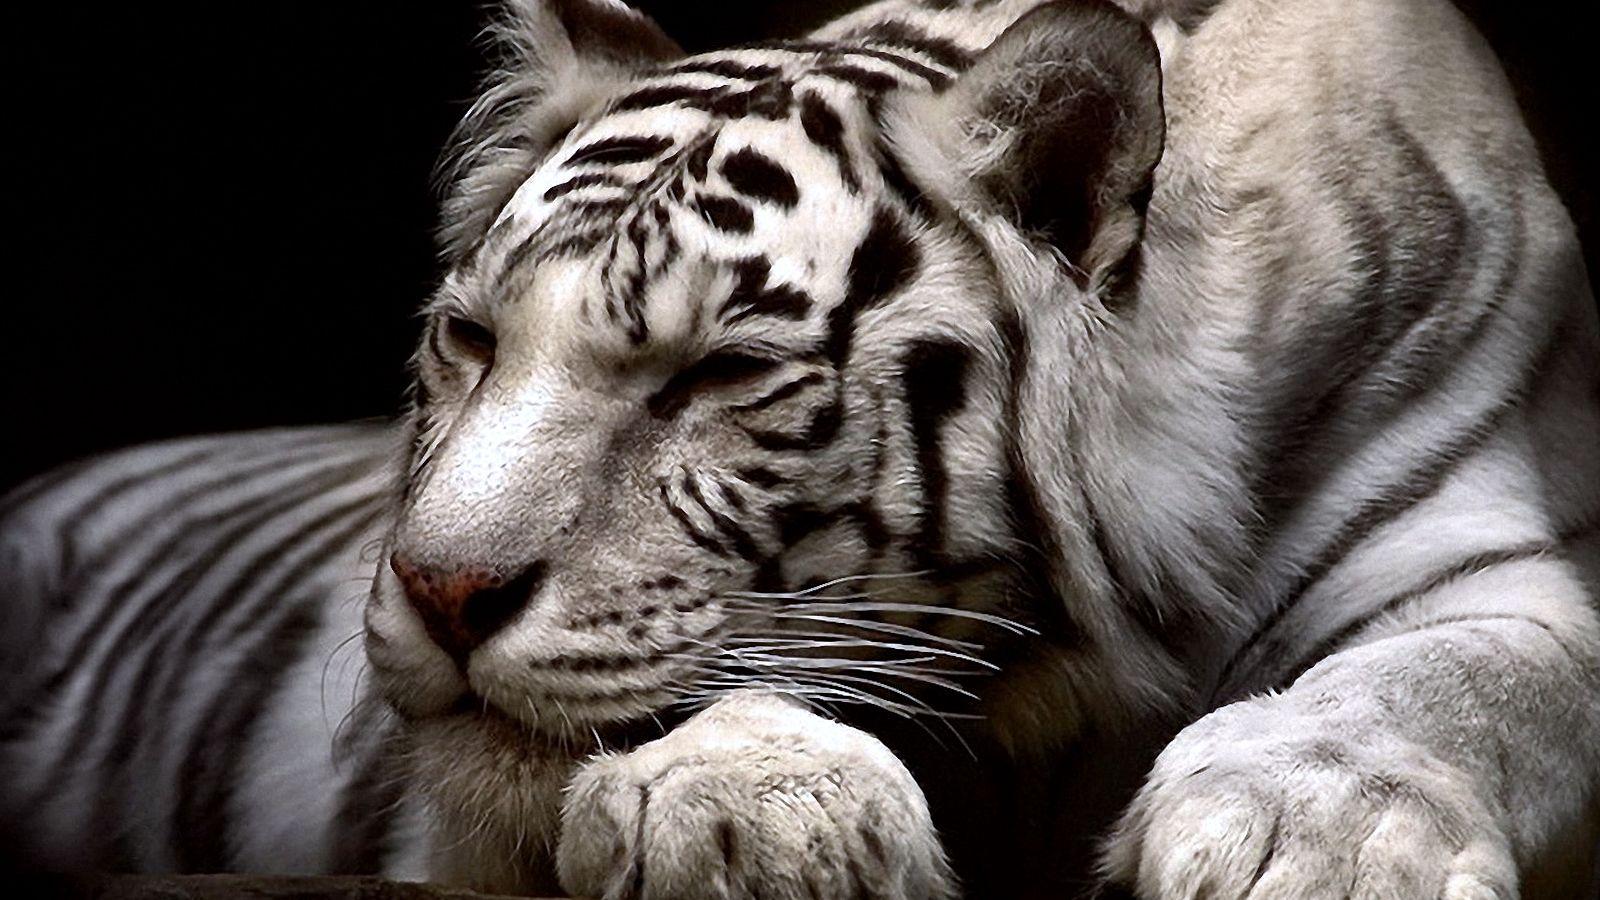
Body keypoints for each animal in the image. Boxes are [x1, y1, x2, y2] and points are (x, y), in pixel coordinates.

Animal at [2, 0, 1597, 897]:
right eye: (472, 341)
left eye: (719, 373)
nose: (441, 593)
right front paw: (747, 814)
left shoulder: (1483, 560)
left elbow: (1454, 686)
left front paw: (1307, 829)